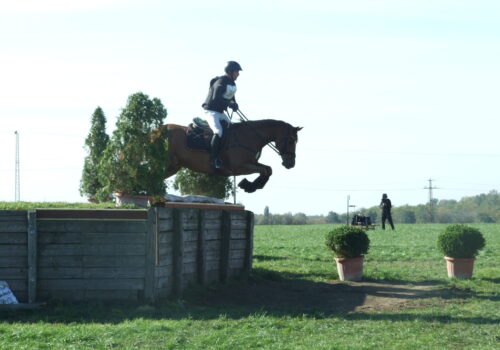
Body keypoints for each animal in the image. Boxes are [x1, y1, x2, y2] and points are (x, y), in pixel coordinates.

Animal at [163, 119, 300, 193]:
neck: (251, 136)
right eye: (290, 141)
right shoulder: (239, 168)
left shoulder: (251, 162)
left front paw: (251, 186)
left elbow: (268, 169)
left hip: (173, 167)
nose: (291, 163)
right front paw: (249, 185)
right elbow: (265, 170)